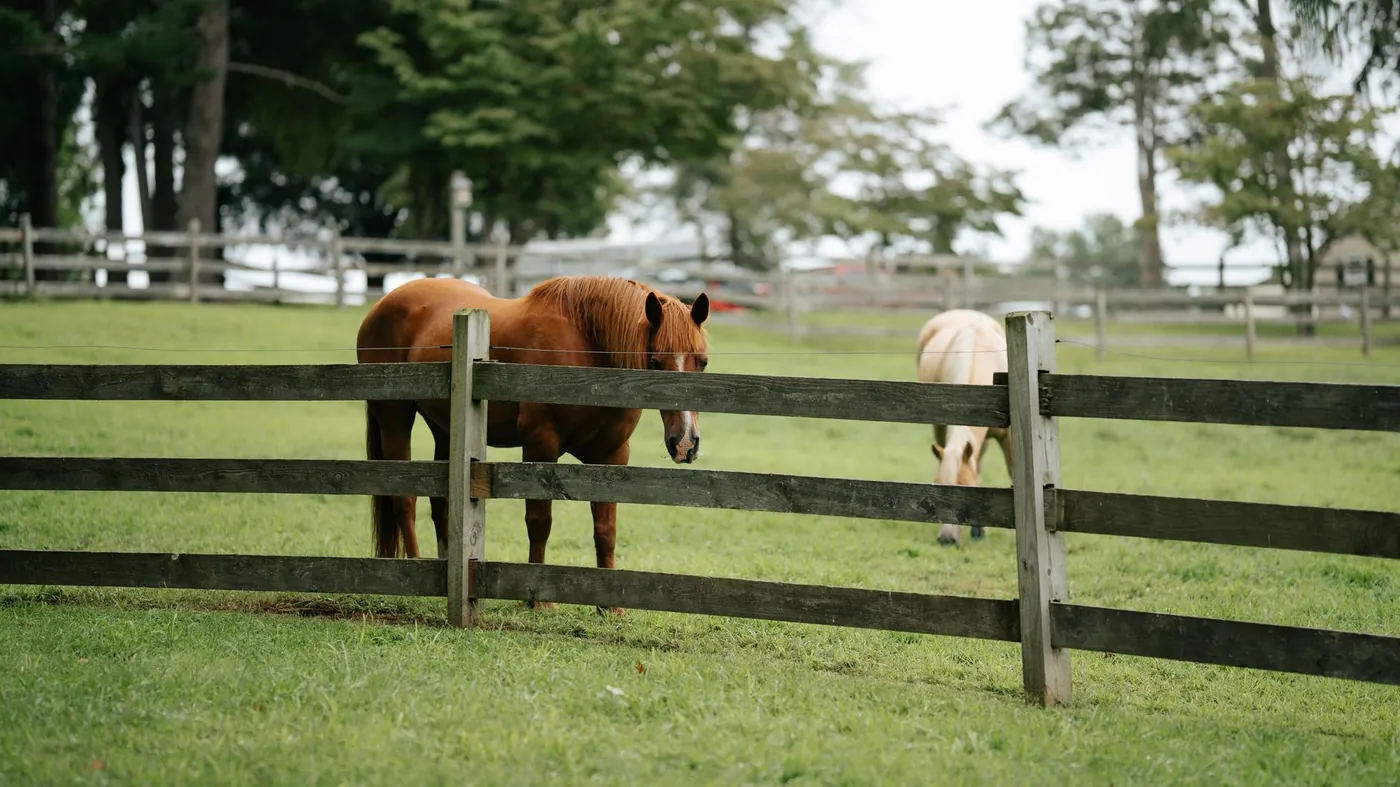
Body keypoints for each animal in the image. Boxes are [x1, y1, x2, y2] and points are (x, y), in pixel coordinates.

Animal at [355, 275, 711, 610]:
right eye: (655, 362)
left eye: (703, 361)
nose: (684, 442)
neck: (588, 348)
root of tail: (383, 304)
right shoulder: (541, 445)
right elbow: (540, 521)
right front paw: (538, 600)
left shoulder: (611, 455)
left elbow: (606, 529)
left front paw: (610, 605)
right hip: (395, 417)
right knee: (404, 498)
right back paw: (414, 568)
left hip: (444, 429)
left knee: (440, 502)